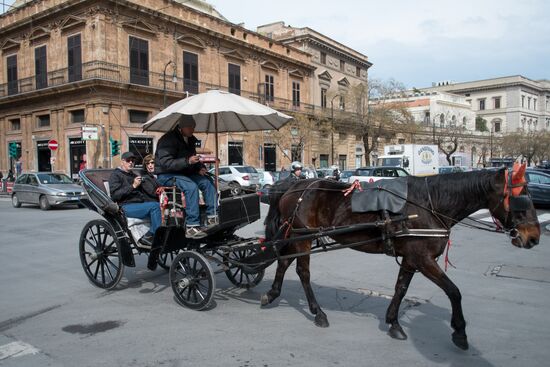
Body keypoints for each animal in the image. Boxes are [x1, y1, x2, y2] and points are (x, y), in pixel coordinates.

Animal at [256, 164, 540, 350]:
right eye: (520, 200)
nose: (534, 237)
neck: (428, 204)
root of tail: (293, 185)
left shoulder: (412, 258)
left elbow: (401, 288)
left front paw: (393, 322)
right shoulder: (424, 259)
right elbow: (454, 291)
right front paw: (460, 331)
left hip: (296, 236)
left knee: (284, 262)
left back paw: (272, 293)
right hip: (303, 236)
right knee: (303, 272)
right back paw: (318, 312)